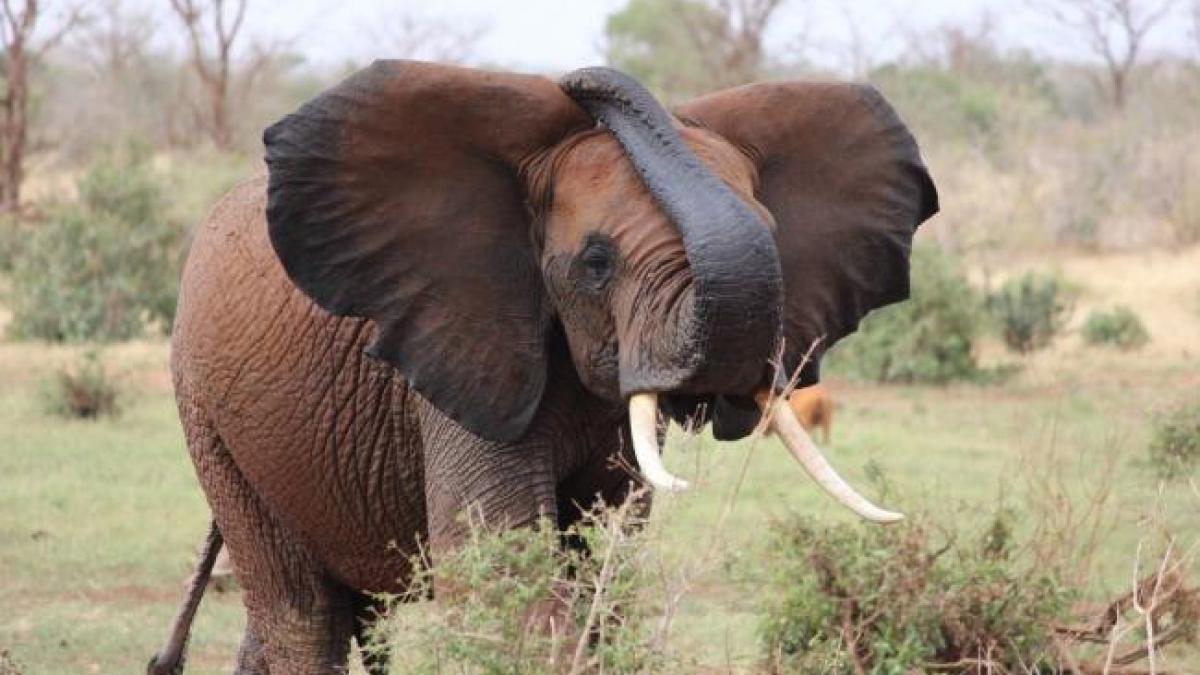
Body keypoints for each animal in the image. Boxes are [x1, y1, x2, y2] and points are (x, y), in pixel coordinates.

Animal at [147, 61, 937, 674]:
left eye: (773, 239)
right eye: (596, 262)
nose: (582, 80)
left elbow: (602, 565)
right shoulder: (466, 341)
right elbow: (501, 564)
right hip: (209, 415)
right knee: (301, 612)